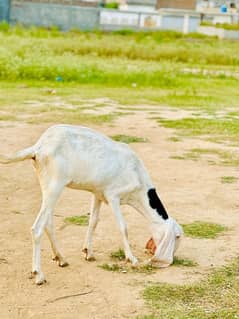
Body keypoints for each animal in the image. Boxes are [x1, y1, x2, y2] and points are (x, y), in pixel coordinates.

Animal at [0, 124, 183, 284]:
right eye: (177, 237)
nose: (172, 261)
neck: (138, 177)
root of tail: (40, 146)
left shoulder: (98, 194)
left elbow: (93, 222)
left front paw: (88, 252)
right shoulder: (113, 196)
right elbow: (123, 227)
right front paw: (131, 258)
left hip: (47, 186)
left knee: (48, 223)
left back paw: (61, 258)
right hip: (55, 186)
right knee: (37, 228)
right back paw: (38, 274)